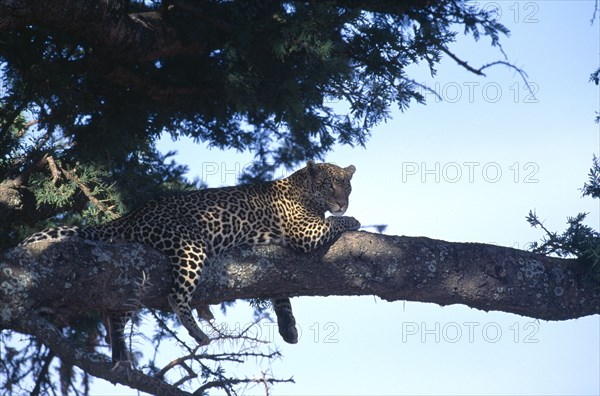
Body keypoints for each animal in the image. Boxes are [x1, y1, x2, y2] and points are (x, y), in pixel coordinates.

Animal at [21, 161, 360, 362]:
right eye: (328, 185)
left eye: (347, 185)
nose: (342, 202)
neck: (303, 187)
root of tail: (131, 215)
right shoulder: (306, 232)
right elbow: (334, 223)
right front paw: (353, 220)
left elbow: (281, 295)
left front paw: (288, 328)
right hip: (190, 247)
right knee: (176, 296)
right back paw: (197, 332)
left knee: (117, 312)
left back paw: (119, 353)